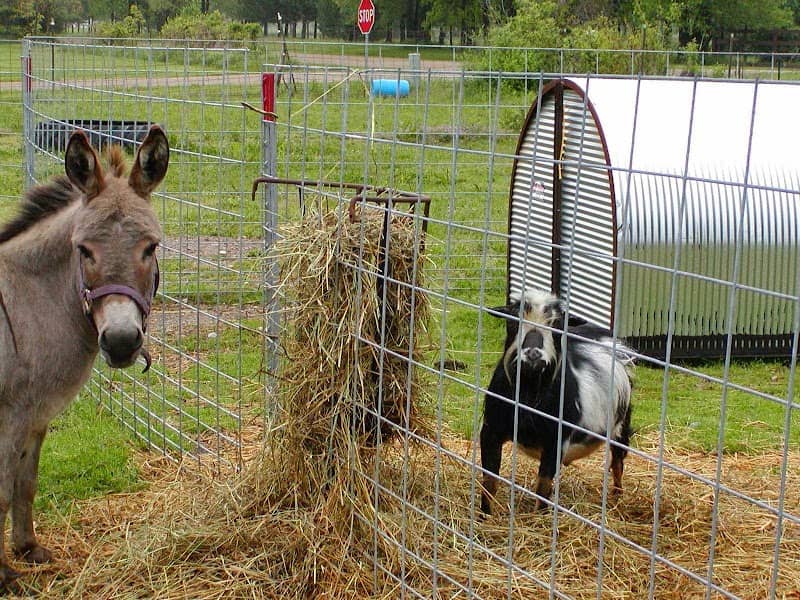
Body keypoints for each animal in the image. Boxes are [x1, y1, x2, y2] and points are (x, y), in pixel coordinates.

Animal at [0, 125, 168, 586]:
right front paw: (4, 574)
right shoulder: (10, 416)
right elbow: (2, 489)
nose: (122, 341)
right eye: (83, 250)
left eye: (151, 247)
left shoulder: (36, 415)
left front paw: (28, 548)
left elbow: (25, 482)